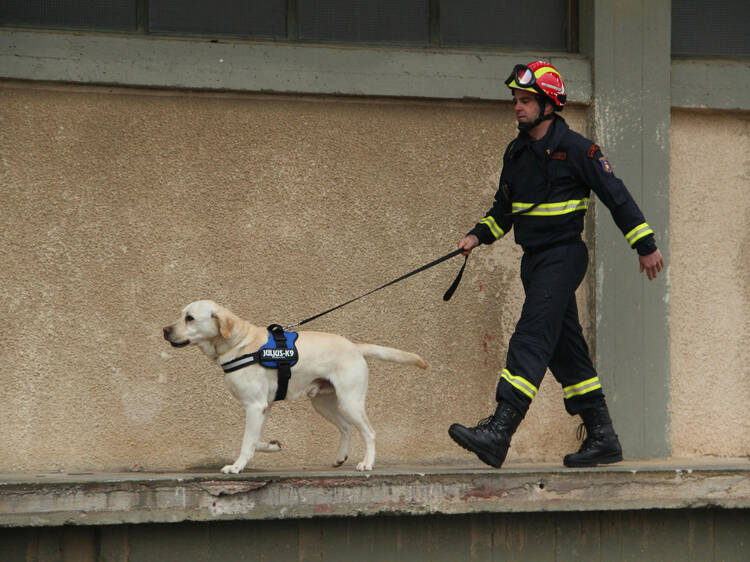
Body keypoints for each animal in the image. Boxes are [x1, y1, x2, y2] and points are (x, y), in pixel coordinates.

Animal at [162, 300, 426, 470]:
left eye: (189, 318)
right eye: (181, 315)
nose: (164, 330)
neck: (238, 343)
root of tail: (355, 347)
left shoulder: (254, 406)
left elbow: (246, 441)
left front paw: (237, 466)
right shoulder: (263, 407)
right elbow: (254, 439)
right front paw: (271, 446)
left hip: (350, 401)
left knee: (369, 433)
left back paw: (367, 463)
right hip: (323, 403)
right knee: (346, 428)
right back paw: (341, 457)